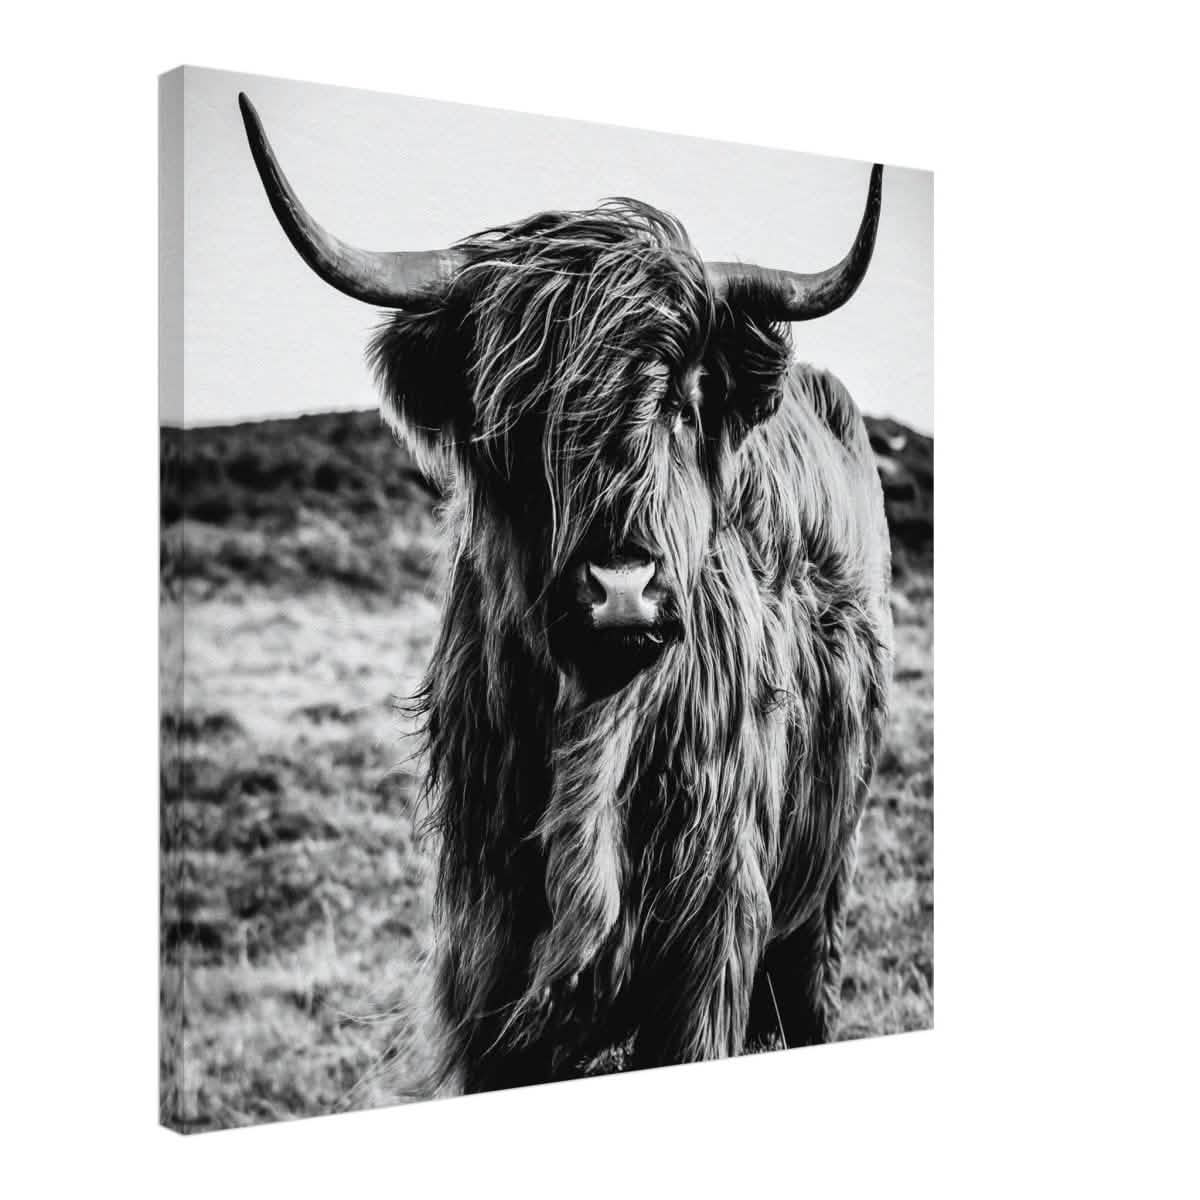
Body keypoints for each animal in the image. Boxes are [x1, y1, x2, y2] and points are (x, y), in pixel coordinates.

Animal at [239, 94, 894, 1095]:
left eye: (681, 400)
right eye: (517, 414)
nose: (622, 587)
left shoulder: (708, 945)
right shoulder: (489, 958)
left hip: (823, 881)